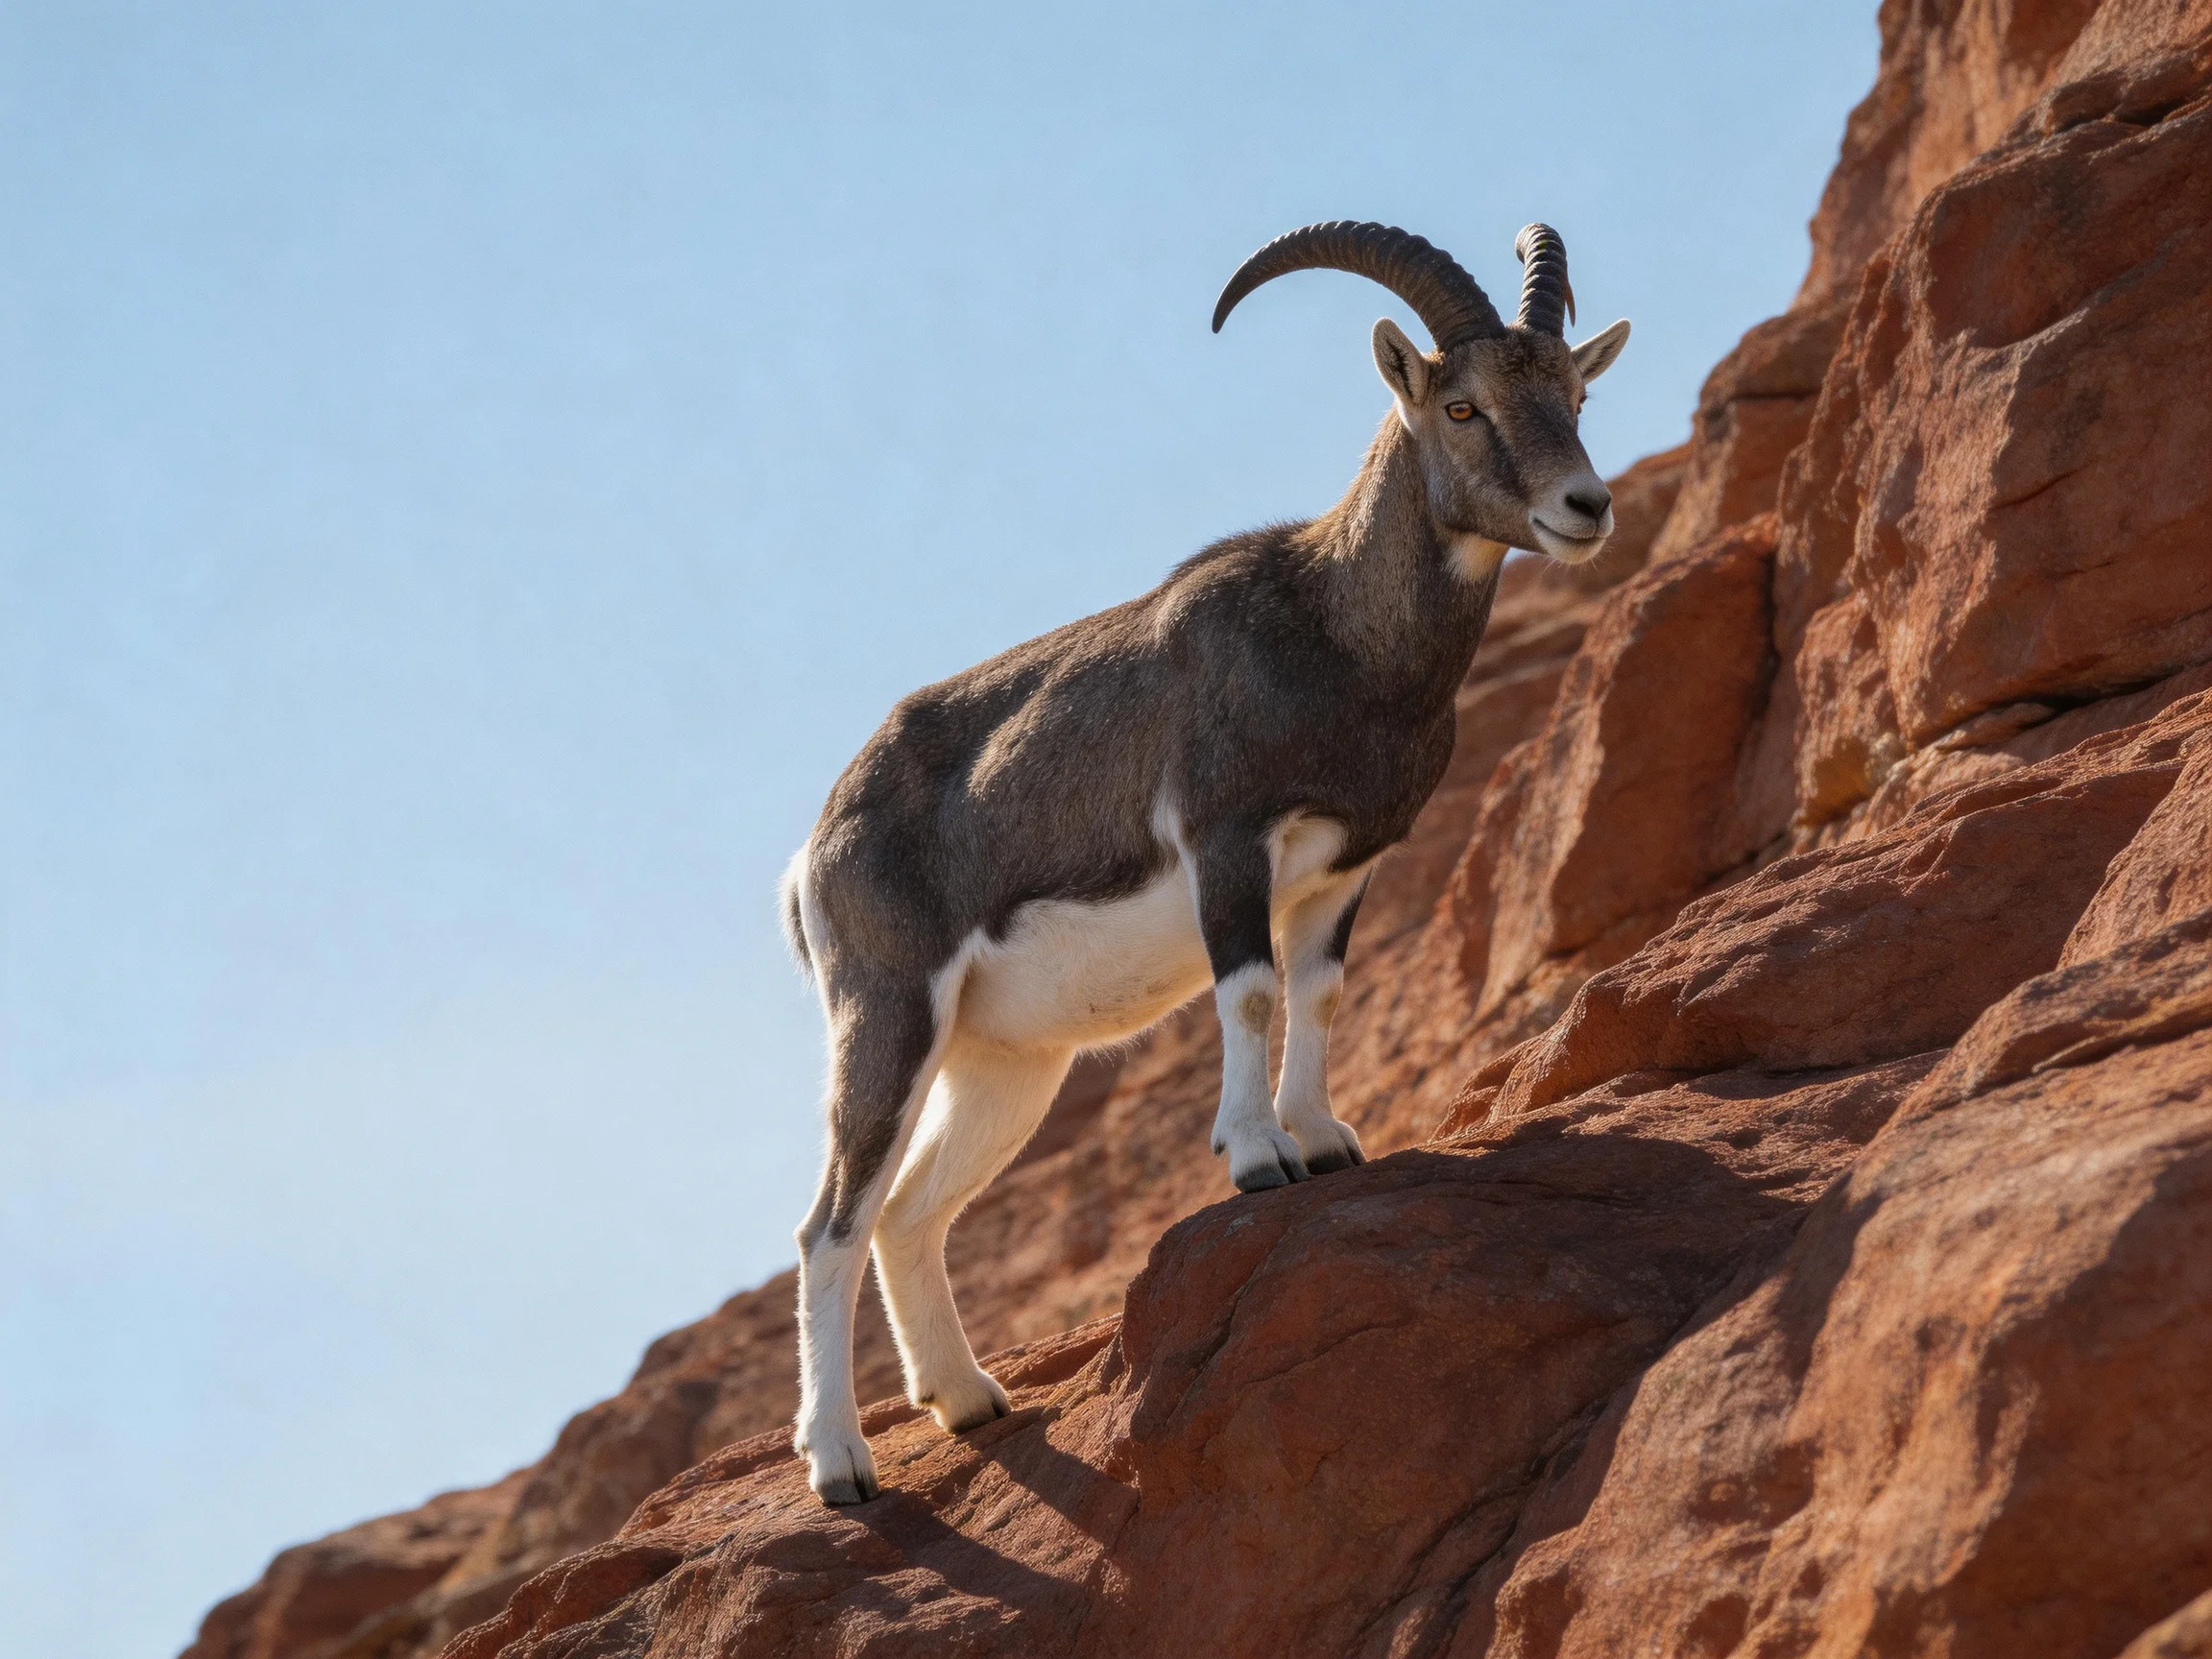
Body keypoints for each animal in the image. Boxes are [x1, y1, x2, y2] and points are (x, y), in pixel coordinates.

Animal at [782, 221, 1631, 1505]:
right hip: (887, 1017)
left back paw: (968, 1401)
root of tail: (813, 851)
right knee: (830, 1222)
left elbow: (1317, 991)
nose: (1586, 507)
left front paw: (1323, 1139)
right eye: (1464, 405)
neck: (1334, 636)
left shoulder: (1341, 872)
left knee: (909, 1214)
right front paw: (1257, 1156)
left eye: (1576, 395)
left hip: (1006, 1066)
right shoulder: (1228, 845)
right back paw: (841, 1465)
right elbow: (1250, 991)